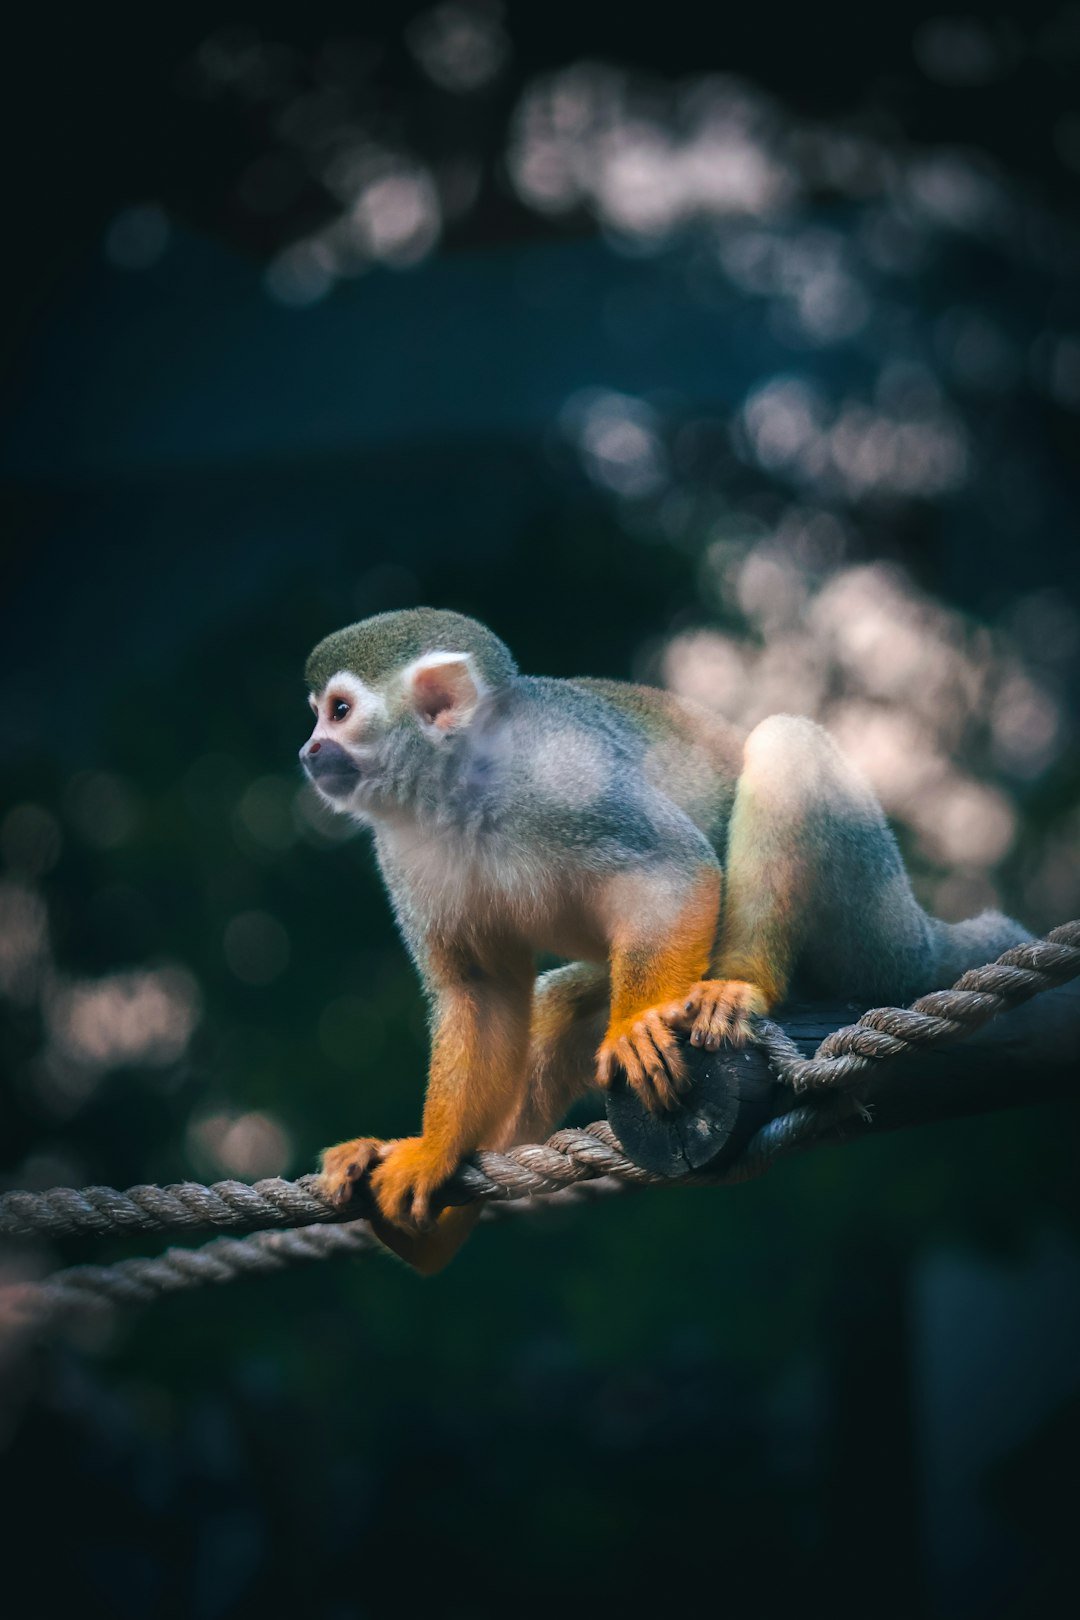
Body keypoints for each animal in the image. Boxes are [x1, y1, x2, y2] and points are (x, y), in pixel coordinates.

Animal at [299, 607, 1029, 1273]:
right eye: (318, 716)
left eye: (338, 711)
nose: (308, 751)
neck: (458, 790)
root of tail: (922, 930)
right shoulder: (404, 852)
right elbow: (479, 994)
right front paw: (433, 1152)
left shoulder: (568, 775)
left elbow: (671, 873)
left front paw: (637, 1030)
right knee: (558, 1004)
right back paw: (426, 1237)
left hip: (876, 922)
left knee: (786, 743)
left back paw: (739, 986)